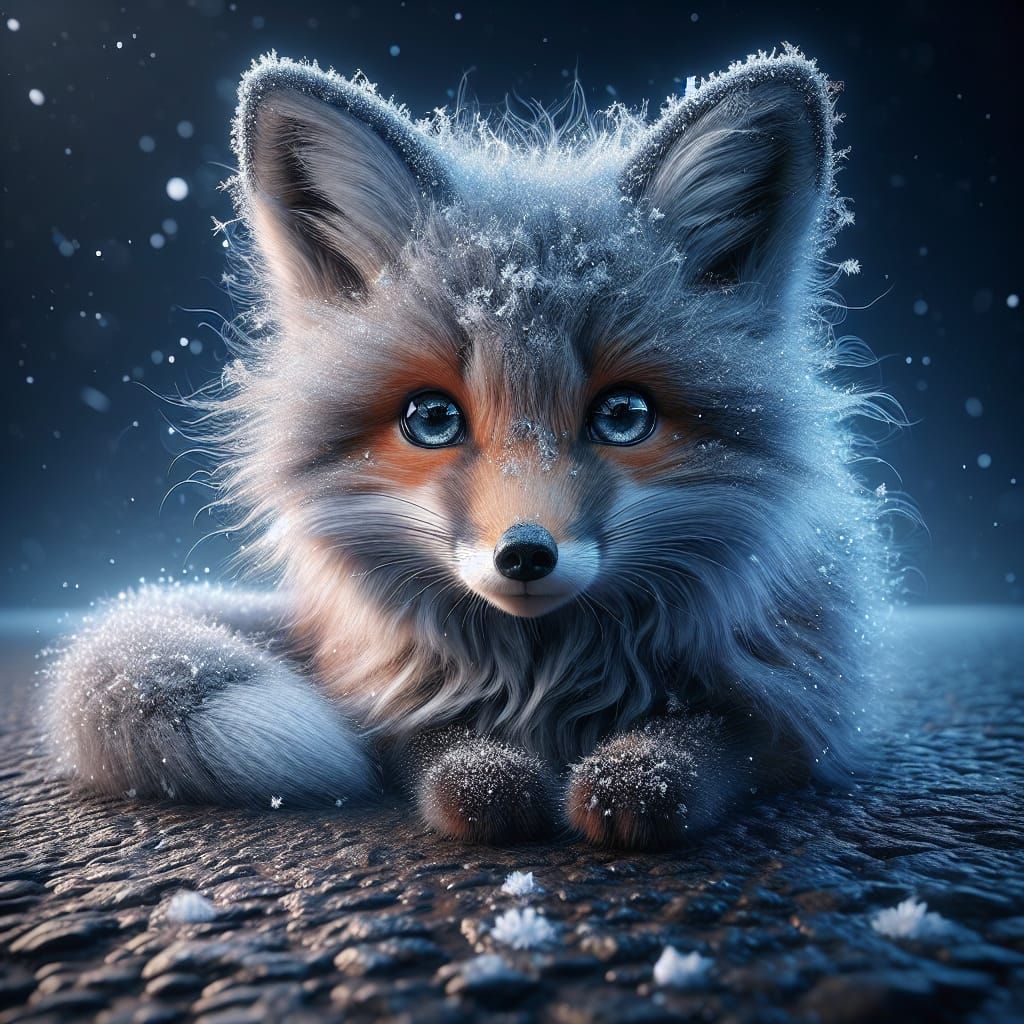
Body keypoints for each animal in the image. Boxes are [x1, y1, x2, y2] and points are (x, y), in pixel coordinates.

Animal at [47, 47, 897, 850]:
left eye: (624, 415)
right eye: (431, 418)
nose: (524, 555)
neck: (547, 671)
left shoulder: (793, 696)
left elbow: (706, 746)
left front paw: (634, 775)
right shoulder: (380, 687)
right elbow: (431, 750)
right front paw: (488, 778)